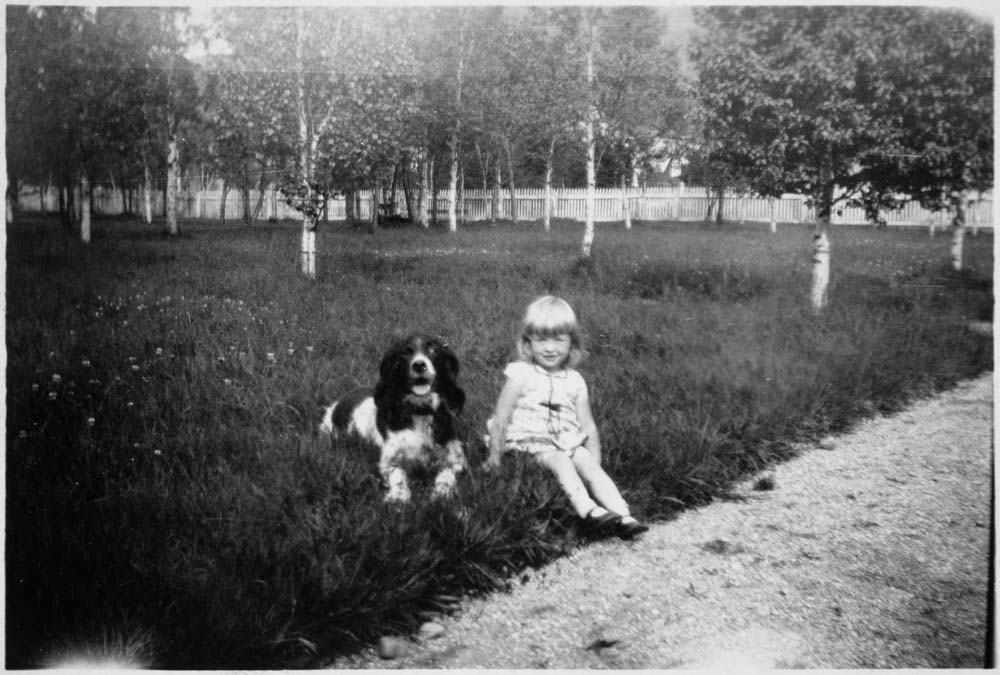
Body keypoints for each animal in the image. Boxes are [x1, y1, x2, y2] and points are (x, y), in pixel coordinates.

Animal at [320, 334, 468, 502]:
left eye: (432, 349)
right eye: (406, 352)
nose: (419, 365)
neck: (420, 412)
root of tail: (335, 404)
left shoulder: (456, 459)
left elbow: (447, 473)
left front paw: (442, 492)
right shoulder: (388, 461)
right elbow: (398, 474)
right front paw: (399, 496)